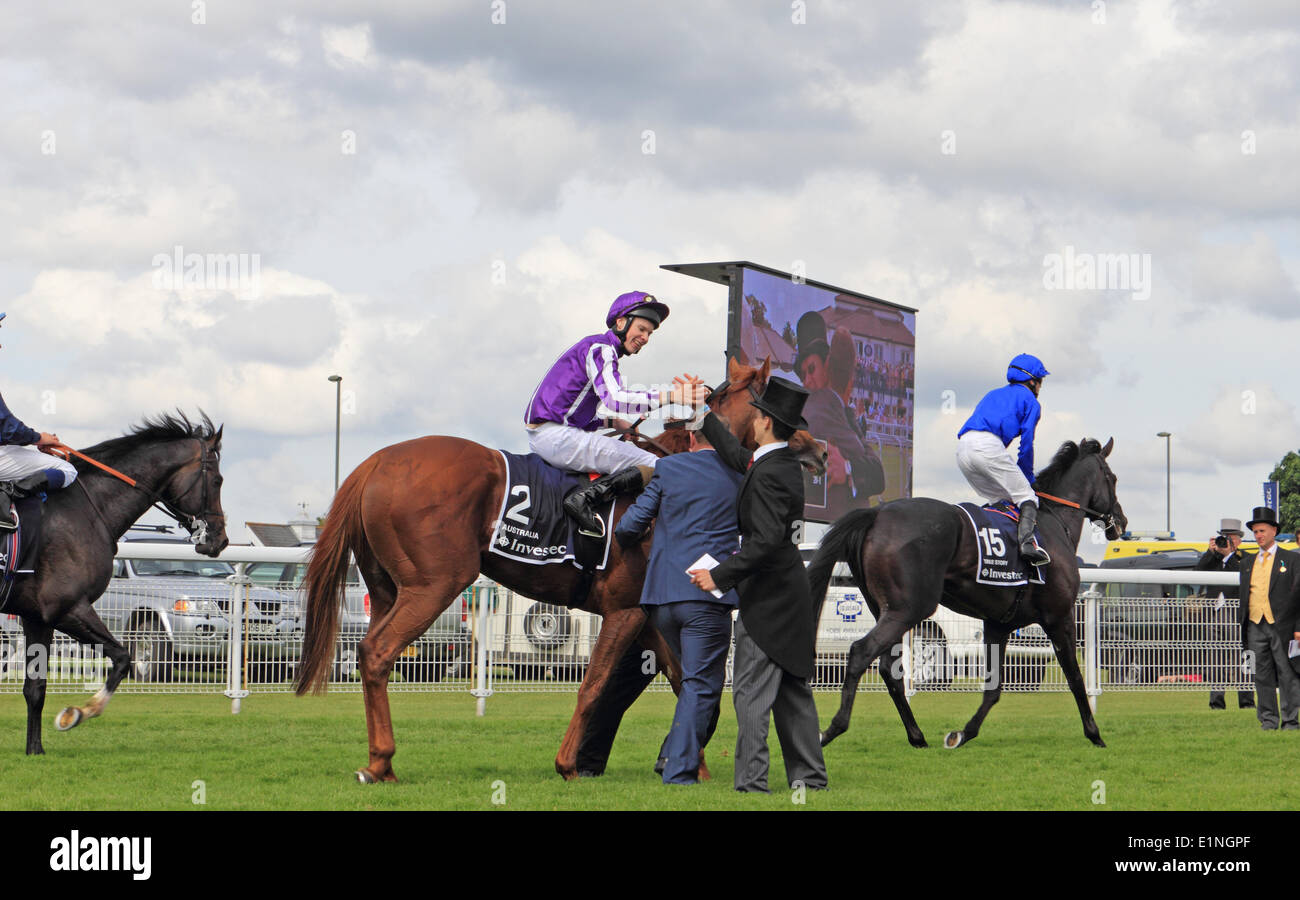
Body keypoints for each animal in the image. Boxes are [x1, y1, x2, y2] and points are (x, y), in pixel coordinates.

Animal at [3, 413, 227, 754]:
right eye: (217, 481)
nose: (220, 540)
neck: (85, 507)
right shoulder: (69, 608)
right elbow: (122, 658)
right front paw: (77, 713)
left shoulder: (37, 617)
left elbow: (35, 688)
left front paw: (35, 750)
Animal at [296, 356, 826, 785]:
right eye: (777, 402)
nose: (817, 447)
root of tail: (376, 462)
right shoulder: (625, 610)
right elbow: (594, 685)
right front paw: (569, 764)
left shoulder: (649, 615)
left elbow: (683, 681)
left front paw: (694, 769)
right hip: (434, 586)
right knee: (377, 652)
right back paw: (381, 761)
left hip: (388, 589)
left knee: (371, 654)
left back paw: (379, 762)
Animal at [806, 439, 1123, 749]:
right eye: (1113, 478)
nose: (1121, 521)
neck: (1054, 524)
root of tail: (877, 513)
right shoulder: (1059, 616)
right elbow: (1074, 677)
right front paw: (1094, 733)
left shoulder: (998, 624)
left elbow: (993, 688)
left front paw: (963, 733)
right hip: (910, 609)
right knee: (861, 652)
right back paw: (831, 729)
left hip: (886, 609)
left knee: (889, 669)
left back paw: (916, 736)